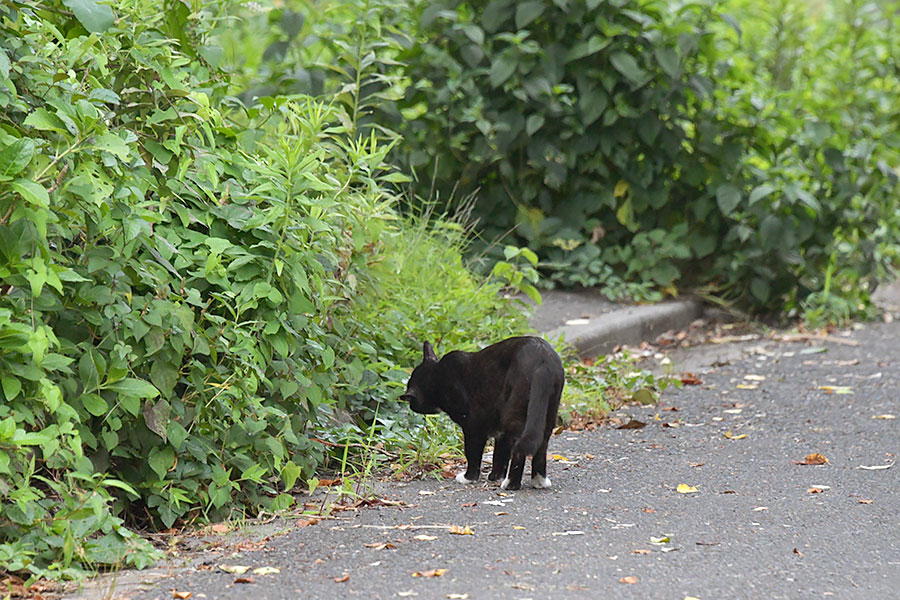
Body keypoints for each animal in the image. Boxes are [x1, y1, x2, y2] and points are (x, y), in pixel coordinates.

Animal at [400, 336, 564, 490]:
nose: (410, 406)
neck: (438, 376)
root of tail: (542, 359)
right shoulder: (499, 428)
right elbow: (500, 452)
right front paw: (495, 476)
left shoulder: (473, 424)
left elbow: (472, 451)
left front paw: (469, 477)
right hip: (548, 408)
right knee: (541, 443)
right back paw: (539, 481)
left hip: (514, 408)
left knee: (519, 447)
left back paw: (511, 484)